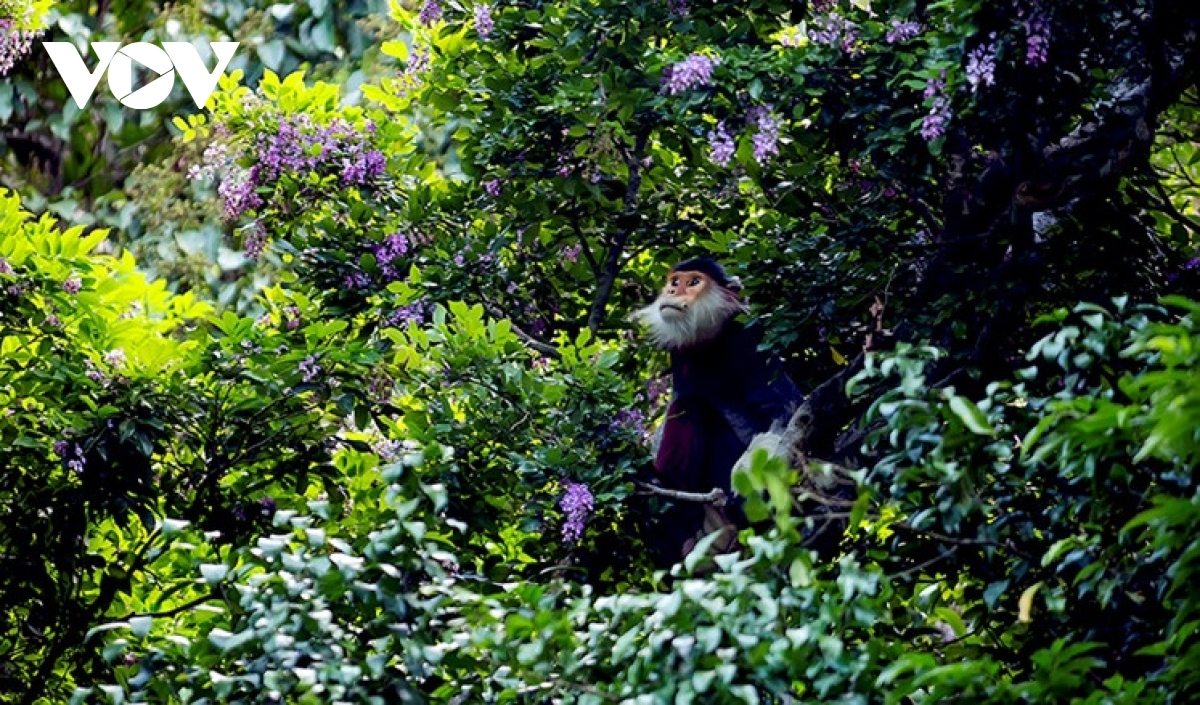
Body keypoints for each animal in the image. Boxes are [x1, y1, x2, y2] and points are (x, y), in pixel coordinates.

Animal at [628, 257, 806, 561]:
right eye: (674, 281)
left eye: (693, 282)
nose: (671, 291)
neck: (709, 343)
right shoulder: (681, 353)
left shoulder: (749, 337)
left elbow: (786, 407)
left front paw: (750, 472)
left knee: (690, 407)